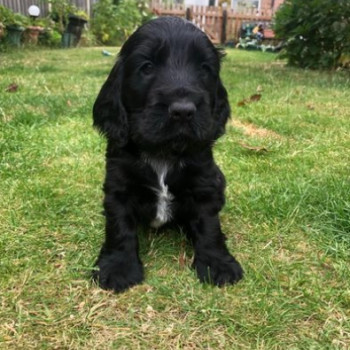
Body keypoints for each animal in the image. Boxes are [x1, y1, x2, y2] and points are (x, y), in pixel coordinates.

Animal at [91, 16, 242, 292]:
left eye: (204, 68)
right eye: (147, 67)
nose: (183, 110)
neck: (164, 151)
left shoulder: (204, 185)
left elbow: (209, 227)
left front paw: (218, 264)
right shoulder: (118, 188)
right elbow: (119, 228)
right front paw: (118, 268)